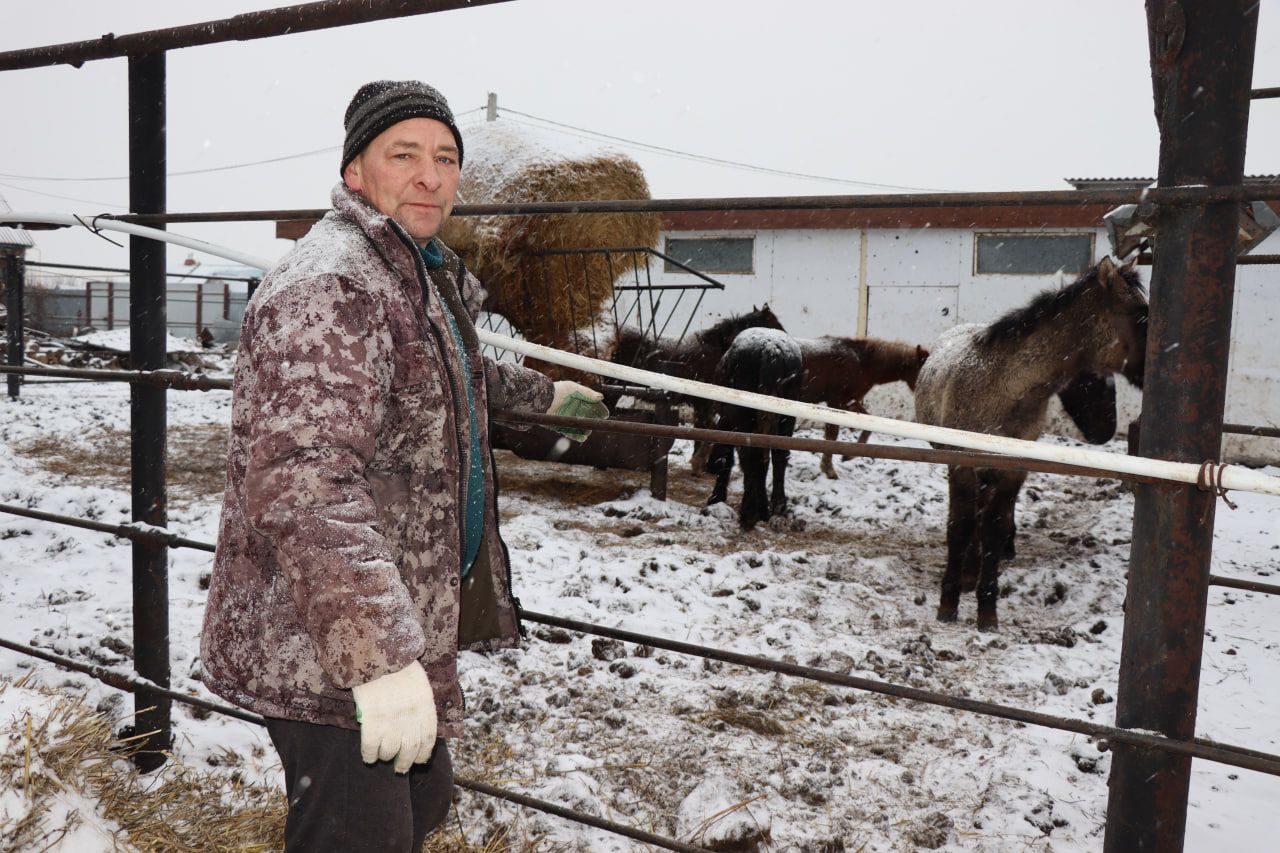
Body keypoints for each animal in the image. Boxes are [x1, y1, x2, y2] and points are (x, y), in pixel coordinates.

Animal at [606, 300, 783, 471]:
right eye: (775, 324)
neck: (719, 348)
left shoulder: (701, 404)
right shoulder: (706, 403)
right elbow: (707, 428)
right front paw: (698, 463)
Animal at [701, 327, 798, 527]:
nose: (710, 465)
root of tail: (771, 349)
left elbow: (729, 456)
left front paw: (717, 497)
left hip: (742, 416)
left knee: (750, 455)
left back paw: (749, 512)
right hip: (786, 419)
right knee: (778, 456)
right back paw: (776, 508)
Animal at [788, 333, 931, 479]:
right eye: (923, 370)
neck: (861, 361)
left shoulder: (850, 402)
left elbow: (867, 426)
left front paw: (848, 456)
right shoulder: (837, 402)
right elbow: (832, 434)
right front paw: (829, 469)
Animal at [911, 256, 1152, 627]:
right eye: (1139, 313)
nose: (1105, 433)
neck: (1004, 388)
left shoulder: (1012, 471)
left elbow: (994, 530)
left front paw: (987, 610)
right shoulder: (961, 465)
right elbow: (960, 528)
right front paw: (948, 603)